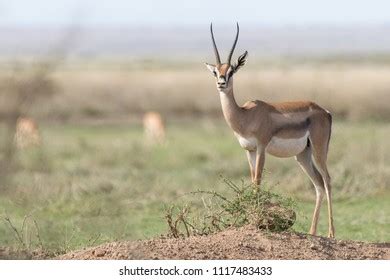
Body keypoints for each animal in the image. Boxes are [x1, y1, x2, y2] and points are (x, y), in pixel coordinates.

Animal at [204, 24, 336, 237]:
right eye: (215, 72)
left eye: (232, 71)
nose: (221, 83)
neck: (246, 115)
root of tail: (325, 111)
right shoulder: (248, 151)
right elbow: (252, 181)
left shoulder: (261, 148)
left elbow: (258, 182)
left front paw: (257, 222)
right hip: (303, 155)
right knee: (318, 185)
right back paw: (312, 232)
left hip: (319, 150)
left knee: (327, 180)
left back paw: (331, 233)